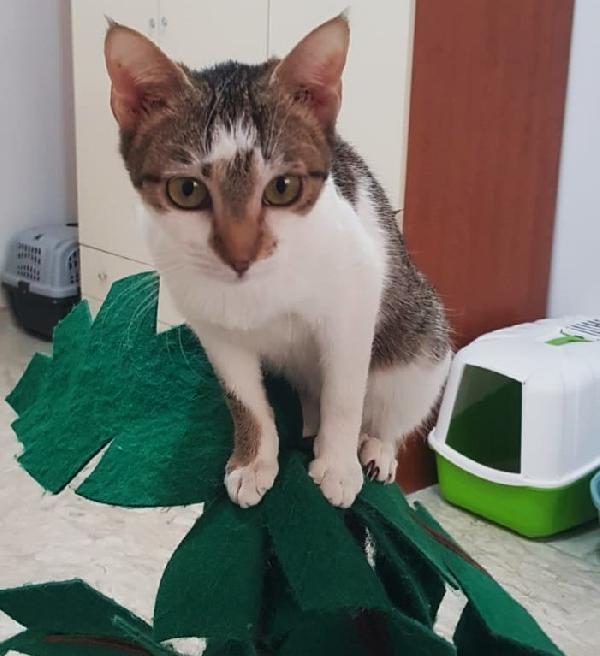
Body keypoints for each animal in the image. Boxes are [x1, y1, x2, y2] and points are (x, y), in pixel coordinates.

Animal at [104, 15, 451, 509]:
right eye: (186, 191)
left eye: (283, 188)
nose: (240, 254)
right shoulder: (212, 327)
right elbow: (244, 399)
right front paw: (253, 461)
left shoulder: (355, 296)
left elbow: (346, 394)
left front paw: (337, 466)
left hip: (422, 340)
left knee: (396, 401)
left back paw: (377, 448)